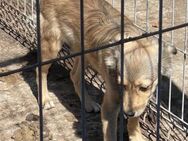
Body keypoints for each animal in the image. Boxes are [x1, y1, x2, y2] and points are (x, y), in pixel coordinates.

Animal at [39, 0, 162, 140]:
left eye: (144, 88)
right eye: (122, 85)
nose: (128, 113)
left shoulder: (142, 102)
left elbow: (134, 120)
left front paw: (136, 135)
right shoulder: (110, 106)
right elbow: (111, 134)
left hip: (85, 53)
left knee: (74, 74)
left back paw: (88, 103)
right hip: (52, 45)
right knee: (40, 71)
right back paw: (45, 99)